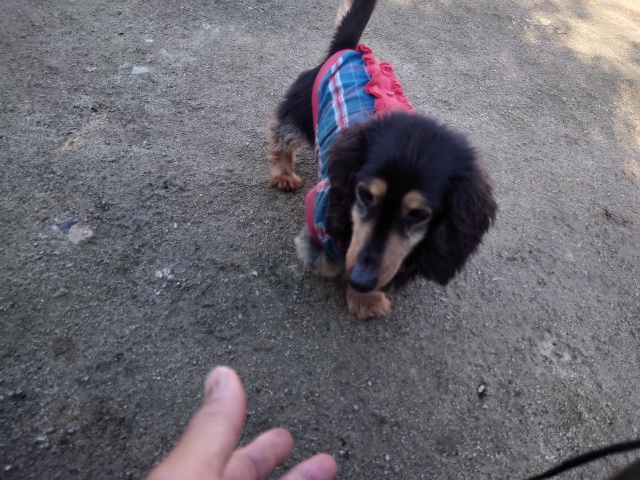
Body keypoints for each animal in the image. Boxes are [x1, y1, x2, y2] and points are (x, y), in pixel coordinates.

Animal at [267, 0, 497, 319]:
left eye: (419, 214)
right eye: (363, 194)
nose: (361, 280)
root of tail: (347, 49)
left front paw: (367, 297)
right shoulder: (320, 221)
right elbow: (329, 260)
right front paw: (360, 295)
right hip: (299, 111)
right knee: (281, 138)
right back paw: (283, 174)